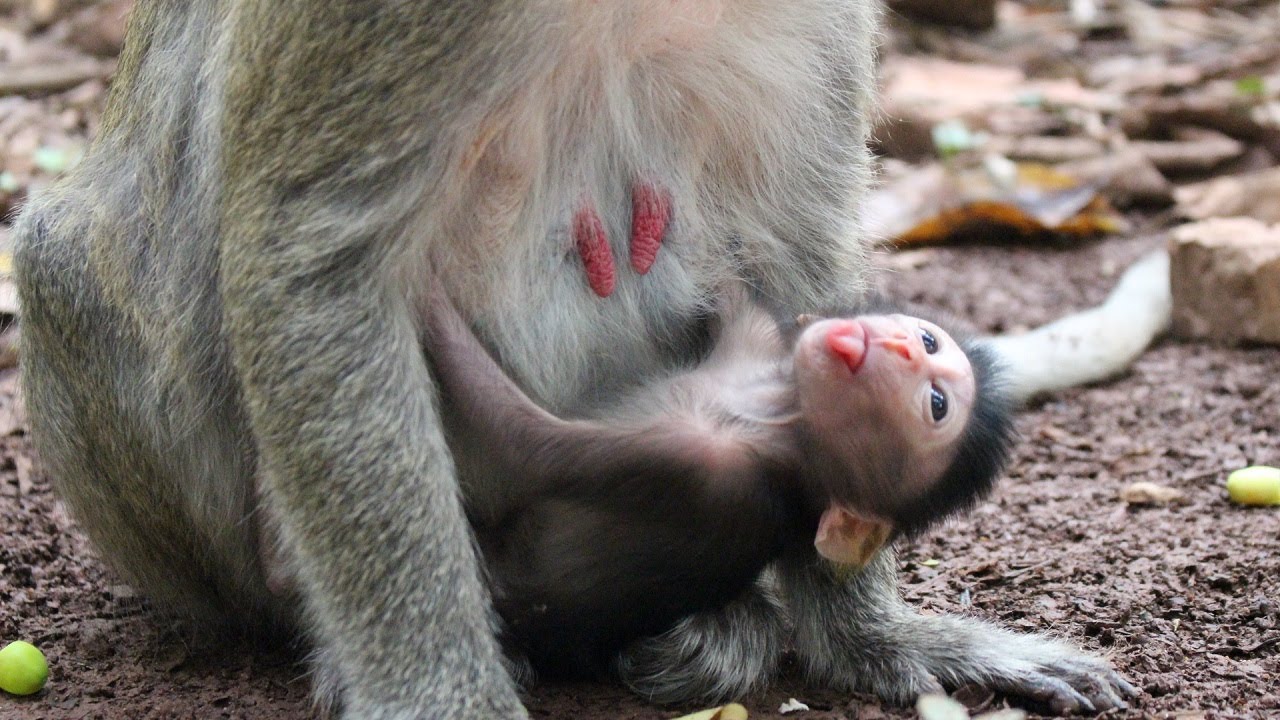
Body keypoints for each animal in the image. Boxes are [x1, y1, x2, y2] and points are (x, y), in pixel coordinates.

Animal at [418, 279, 1015, 678]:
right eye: (929, 341)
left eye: (936, 404)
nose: (904, 346)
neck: (771, 409)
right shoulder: (756, 343)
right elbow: (738, 300)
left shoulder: (691, 461)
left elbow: (527, 446)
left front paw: (427, 298)